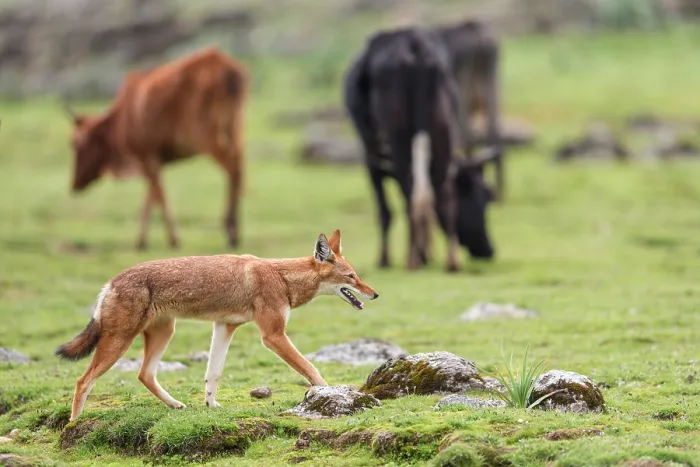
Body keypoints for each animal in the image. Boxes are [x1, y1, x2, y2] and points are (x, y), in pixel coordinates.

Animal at [63, 47, 248, 250]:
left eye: (75, 143)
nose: (74, 185)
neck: (120, 118)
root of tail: (229, 70)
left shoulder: (146, 157)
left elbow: (158, 195)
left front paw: (172, 238)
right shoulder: (154, 161)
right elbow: (151, 196)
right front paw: (142, 240)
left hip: (206, 137)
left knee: (233, 169)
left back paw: (231, 230)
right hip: (236, 130)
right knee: (239, 168)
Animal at [343, 26, 497, 273]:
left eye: (487, 199)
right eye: (480, 199)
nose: (488, 250)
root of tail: (413, 44)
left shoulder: (372, 159)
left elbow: (385, 210)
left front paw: (385, 260)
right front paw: (427, 254)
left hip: (398, 140)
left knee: (410, 197)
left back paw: (413, 258)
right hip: (443, 133)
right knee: (443, 197)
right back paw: (450, 261)